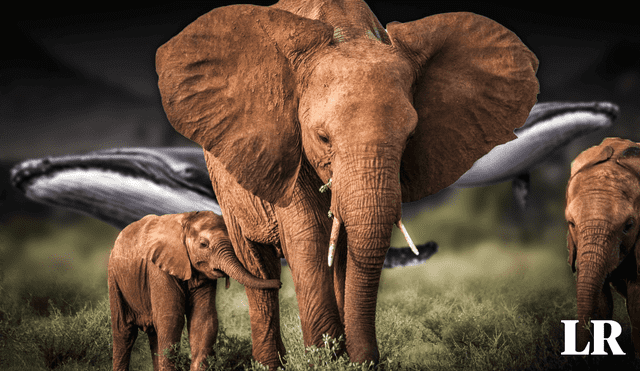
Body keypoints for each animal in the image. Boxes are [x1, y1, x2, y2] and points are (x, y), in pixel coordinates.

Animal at [107, 211, 280, 370]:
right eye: (203, 244)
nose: (279, 283)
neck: (186, 219)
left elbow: (203, 319)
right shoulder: (157, 268)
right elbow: (171, 319)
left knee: (153, 334)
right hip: (114, 278)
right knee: (124, 333)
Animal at [155, 0, 540, 366]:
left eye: (411, 137)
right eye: (322, 137)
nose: (366, 359)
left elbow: (347, 249)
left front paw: (347, 359)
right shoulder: (288, 143)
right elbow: (309, 233)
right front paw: (326, 359)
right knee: (257, 267)